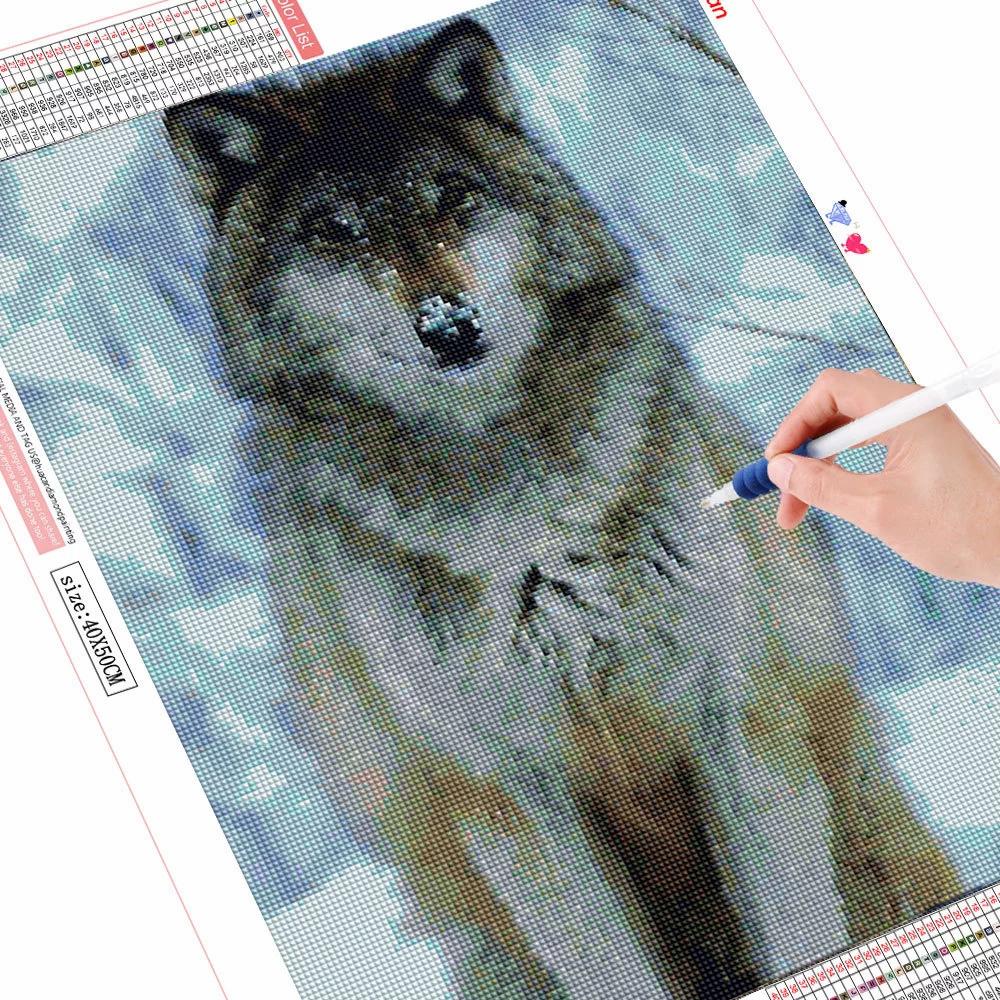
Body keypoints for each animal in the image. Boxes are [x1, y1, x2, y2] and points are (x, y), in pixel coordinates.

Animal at [165, 18, 958, 999]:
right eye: (336, 232)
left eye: (455, 197)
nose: (448, 325)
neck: (519, 512)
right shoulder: (509, 798)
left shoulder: (733, 715)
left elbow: (792, 930)